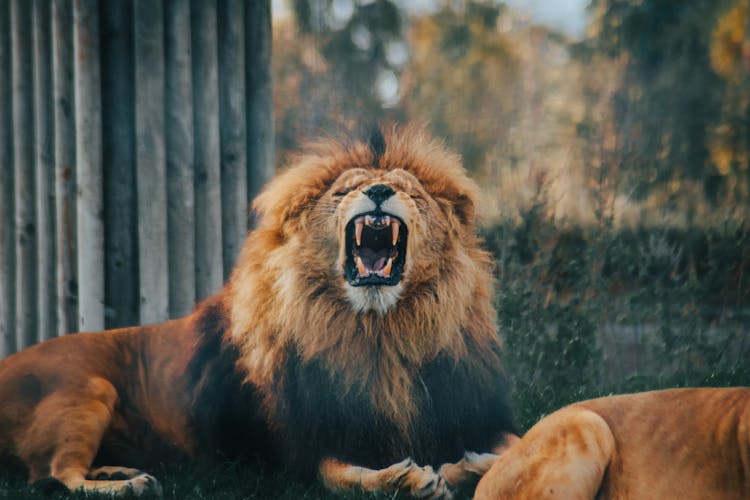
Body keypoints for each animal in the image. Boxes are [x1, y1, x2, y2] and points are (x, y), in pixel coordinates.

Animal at [0, 127, 516, 498]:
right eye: (343, 191)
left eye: (412, 194)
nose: (378, 191)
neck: (378, 333)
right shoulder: (301, 448)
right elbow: (341, 477)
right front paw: (411, 479)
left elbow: (515, 445)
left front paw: (473, 465)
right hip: (91, 389)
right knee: (56, 475)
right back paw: (128, 485)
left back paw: (118, 470)